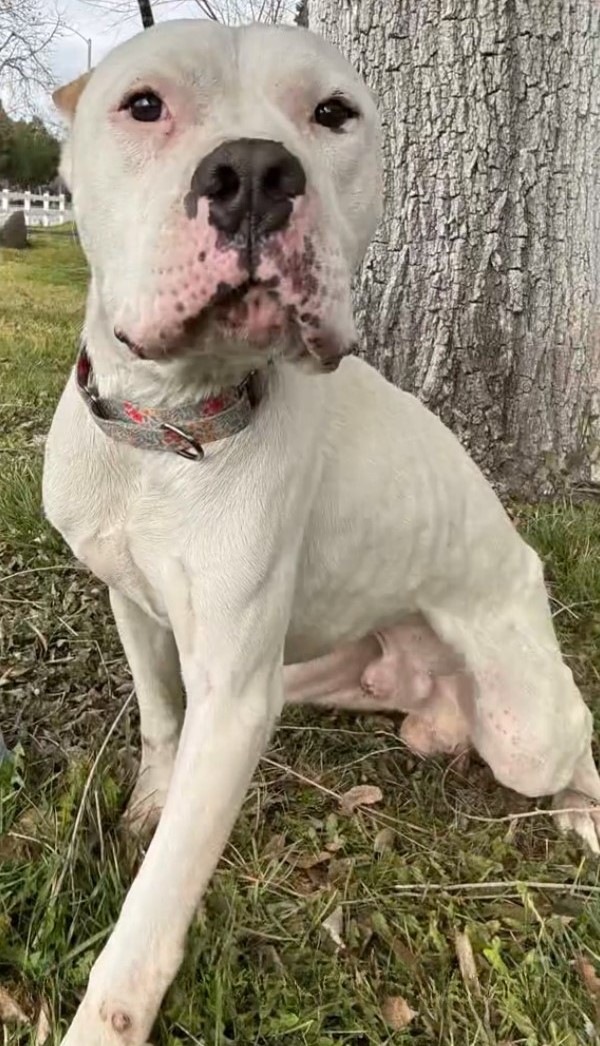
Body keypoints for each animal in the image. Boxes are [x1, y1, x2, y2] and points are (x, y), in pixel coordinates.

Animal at [43, 16, 600, 1046]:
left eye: (335, 114)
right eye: (142, 103)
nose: (257, 172)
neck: (169, 425)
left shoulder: (233, 697)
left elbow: (148, 925)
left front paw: (104, 1019)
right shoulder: (133, 605)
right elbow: (159, 717)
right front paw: (149, 801)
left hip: (525, 728)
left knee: (578, 746)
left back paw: (586, 812)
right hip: (315, 675)